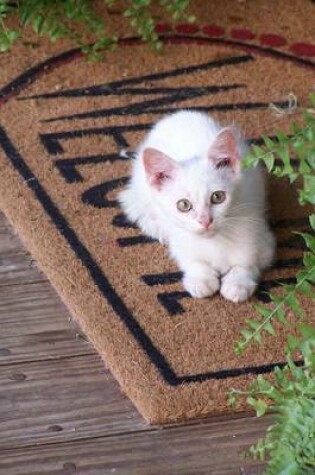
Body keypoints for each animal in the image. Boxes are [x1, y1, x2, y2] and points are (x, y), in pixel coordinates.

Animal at [119, 111, 276, 304]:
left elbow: (248, 263)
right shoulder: (180, 240)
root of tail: (176, 115)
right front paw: (201, 279)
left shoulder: (263, 239)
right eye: (184, 205)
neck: (215, 241)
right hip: (140, 193)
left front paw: (238, 283)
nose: (205, 221)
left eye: (218, 197)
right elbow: (191, 259)